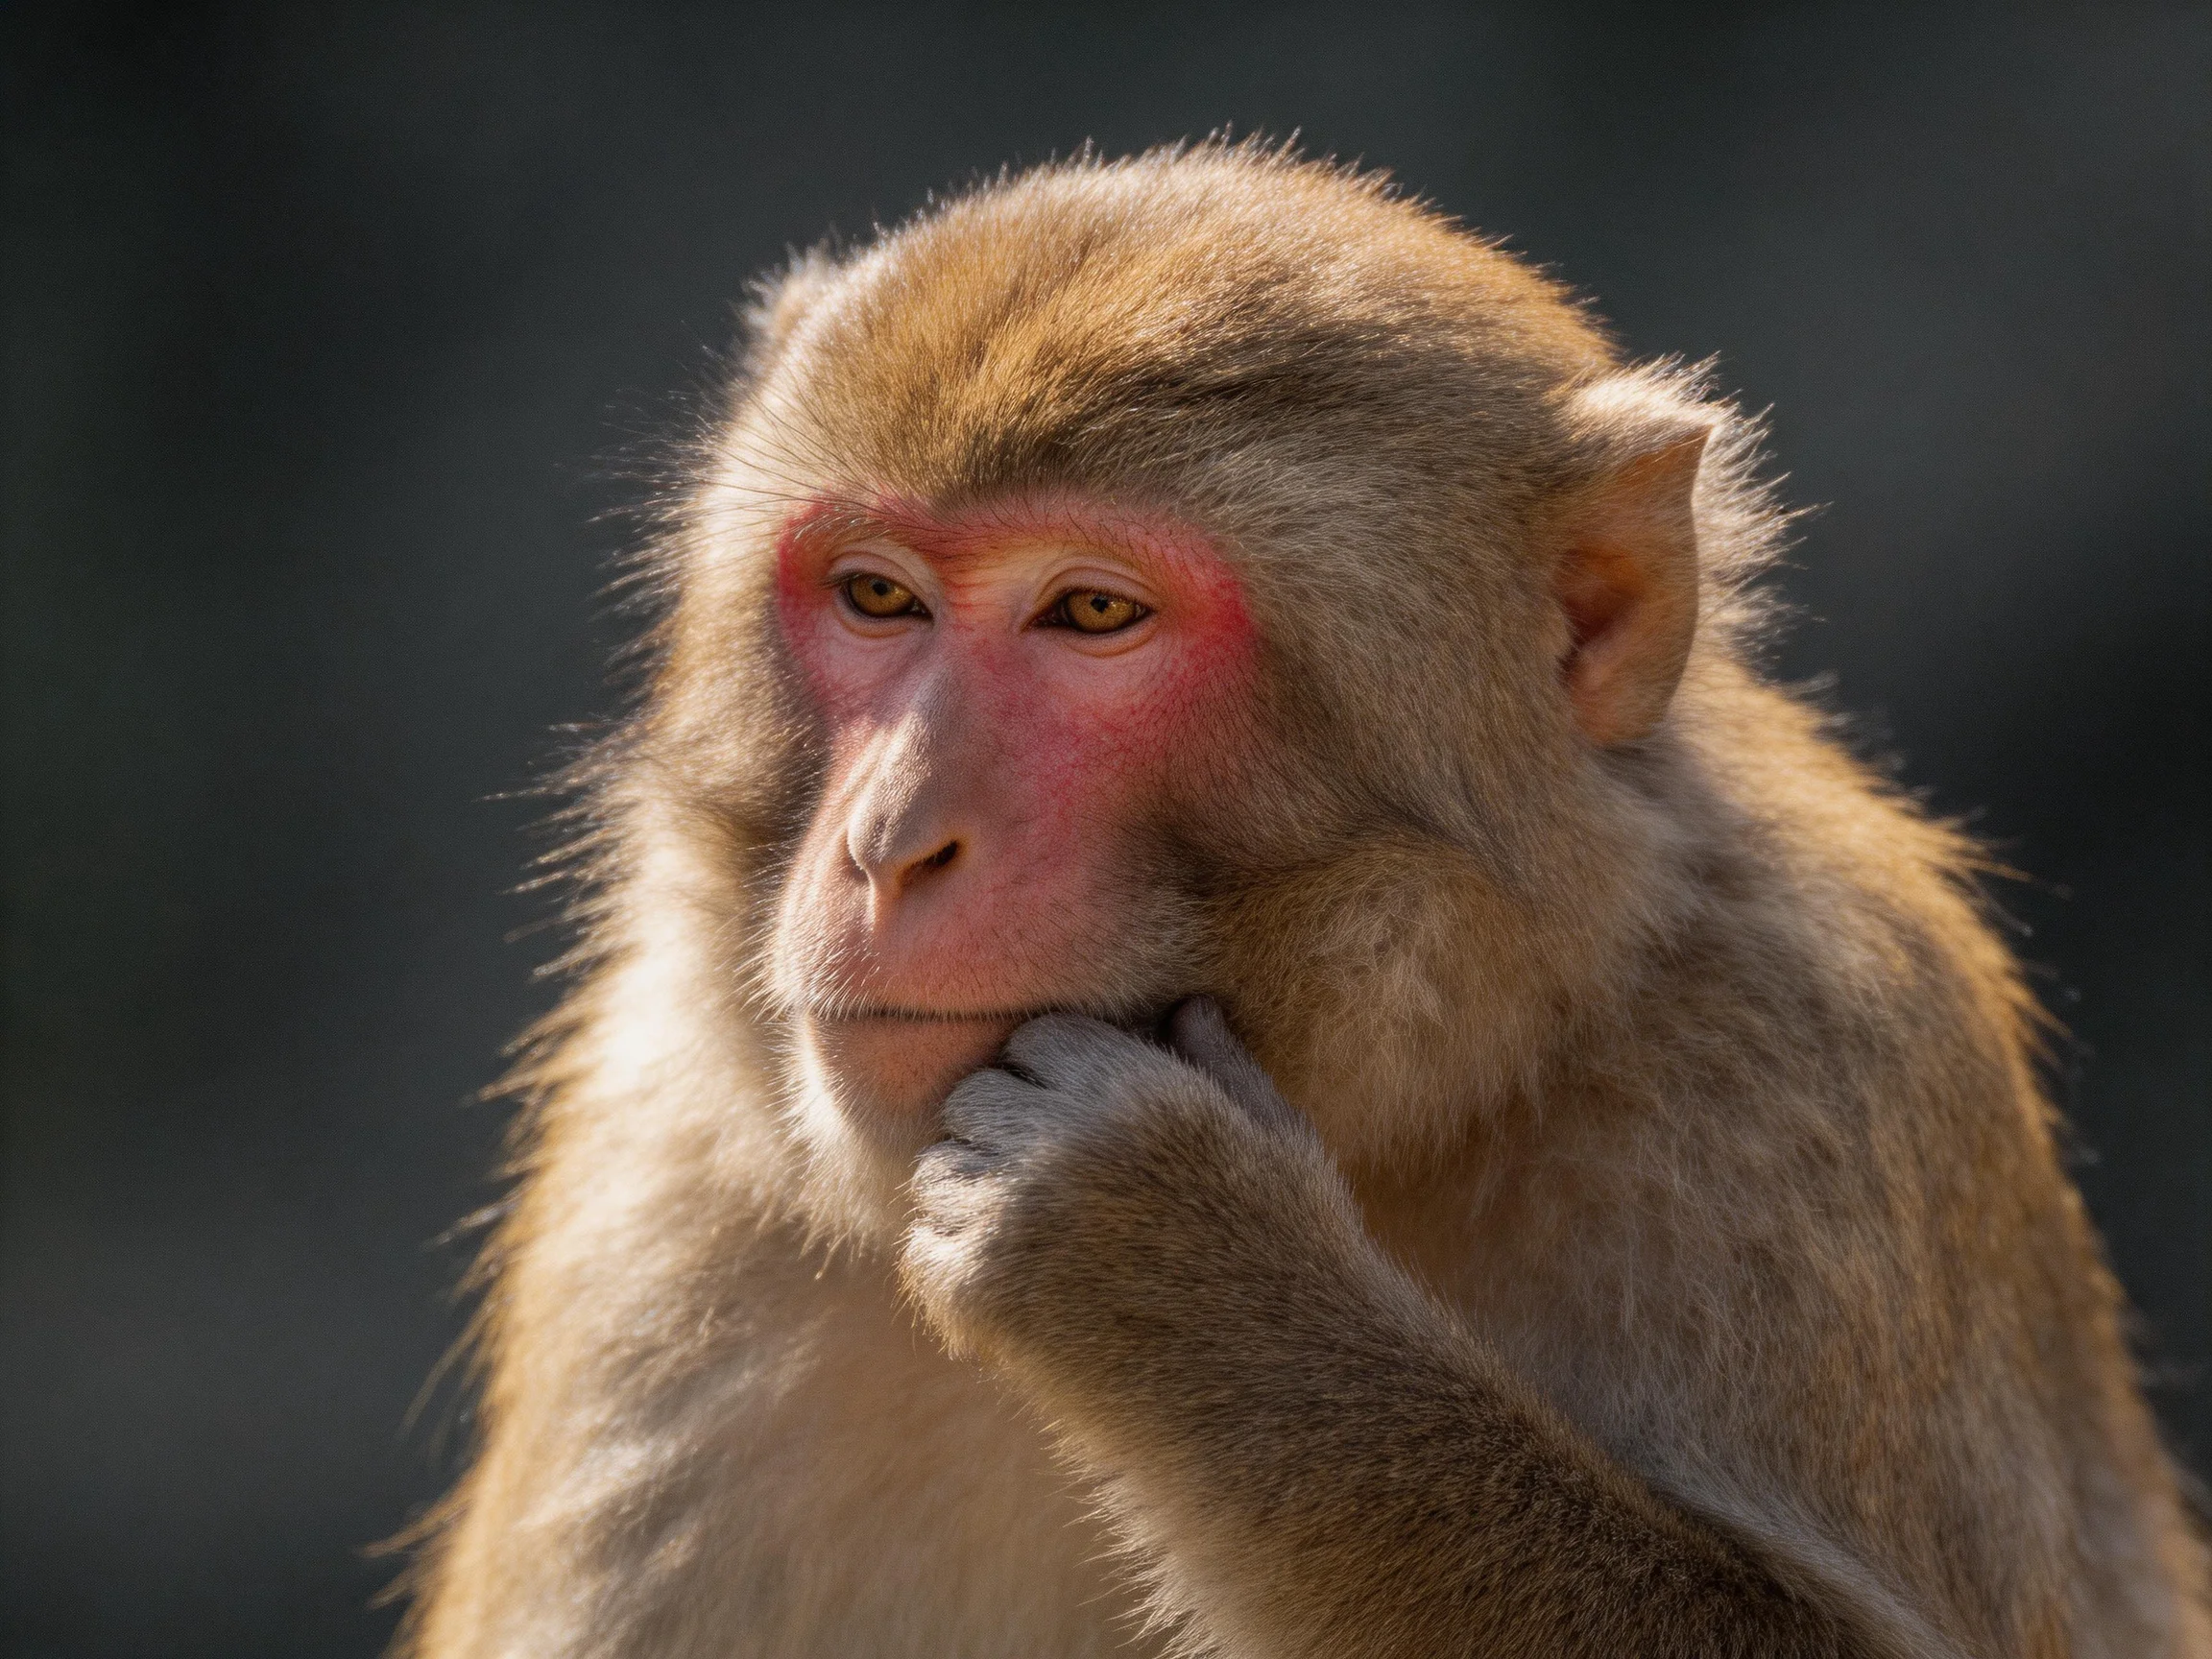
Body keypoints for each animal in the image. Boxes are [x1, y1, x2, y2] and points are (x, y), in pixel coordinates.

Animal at [398, 143, 2210, 1658]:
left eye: (1093, 613)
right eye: (875, 596)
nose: (889, 844)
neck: (1397, 1098)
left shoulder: (1818, 1068)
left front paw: (1180, 1273)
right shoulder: (663, 1212)